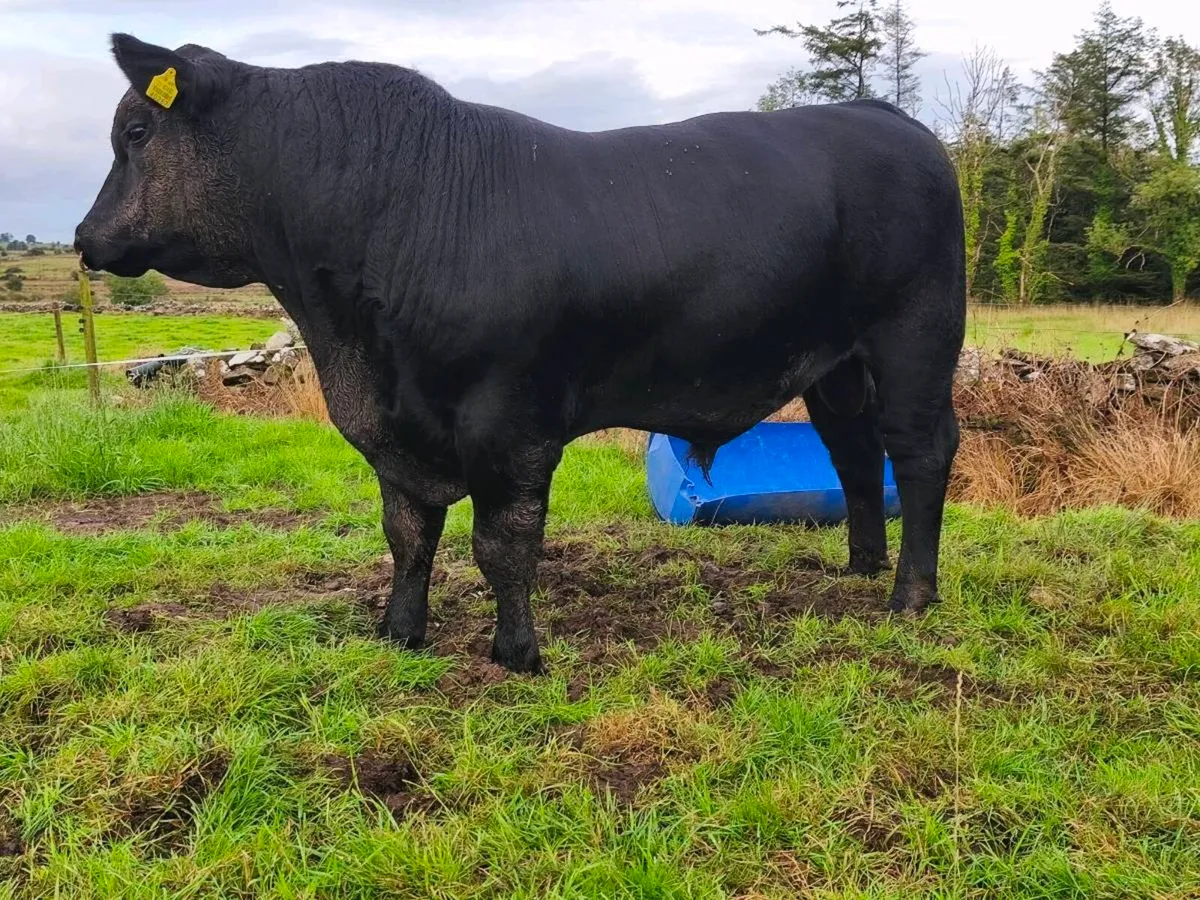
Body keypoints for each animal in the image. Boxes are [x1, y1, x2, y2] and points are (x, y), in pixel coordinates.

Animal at [76, 34, 966, 674]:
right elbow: (408, 532)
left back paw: (910, 595)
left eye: (136, 130)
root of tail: (885, 117)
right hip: (836, 367)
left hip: (915, 339)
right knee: (855, 456)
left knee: (919, 454)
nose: (85, 237)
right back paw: (859, 569)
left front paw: (517, 653)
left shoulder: (509, 417)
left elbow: (502, 542)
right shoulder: (397, 430)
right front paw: (399, 631)